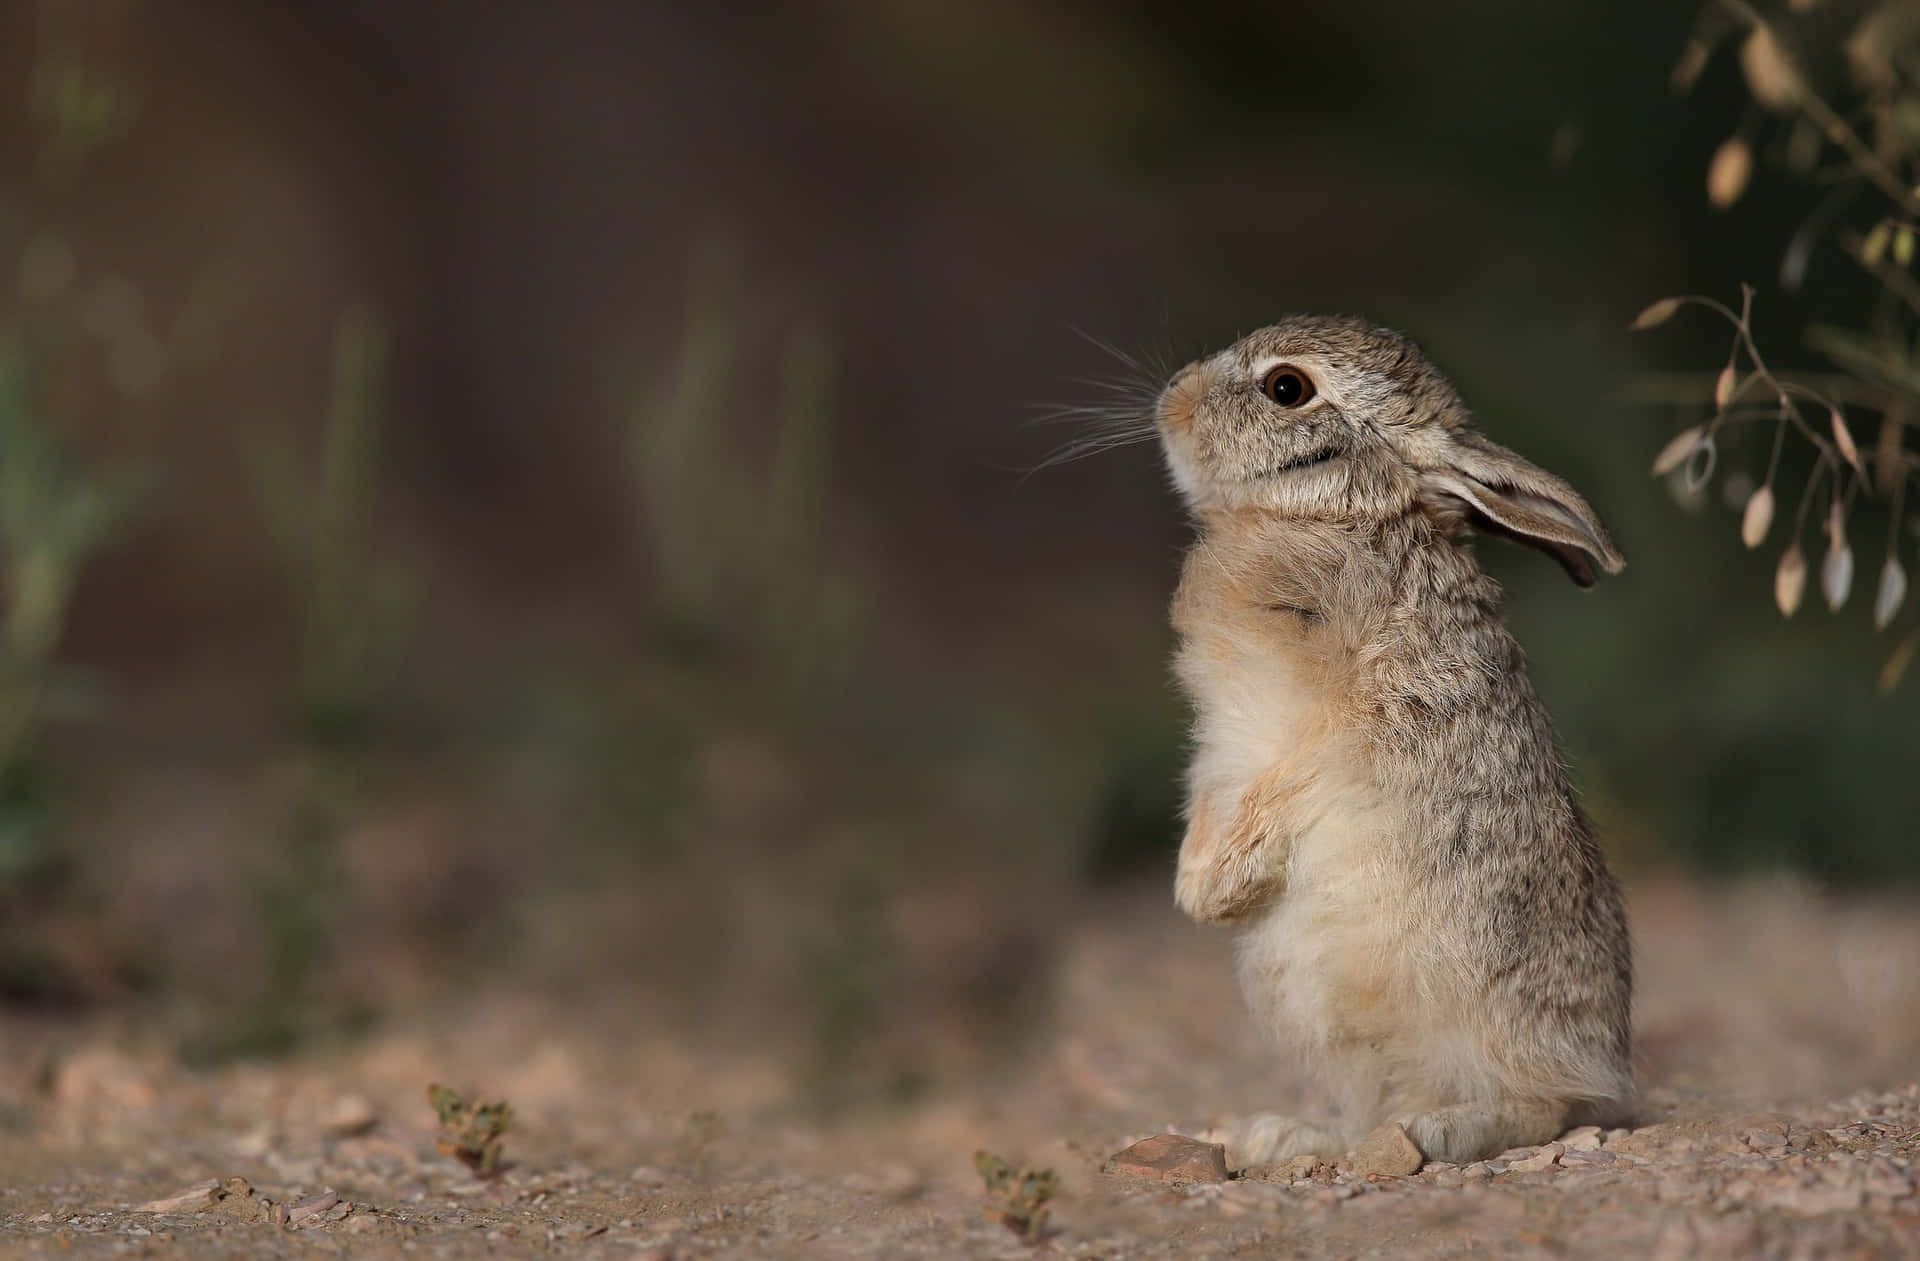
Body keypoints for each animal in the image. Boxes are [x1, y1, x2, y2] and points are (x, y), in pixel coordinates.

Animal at [1152, 312, 1635, 1159]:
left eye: (1287, 387)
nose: (1172, 397)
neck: (1334, 517)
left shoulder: (1355, 720)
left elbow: (1293, 781)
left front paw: (1215, 890)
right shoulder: (1221, 749)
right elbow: (1215, 798)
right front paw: (1202, 891)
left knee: (1545, 1105)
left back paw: (1441, 1129)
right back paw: (1288, 1137)